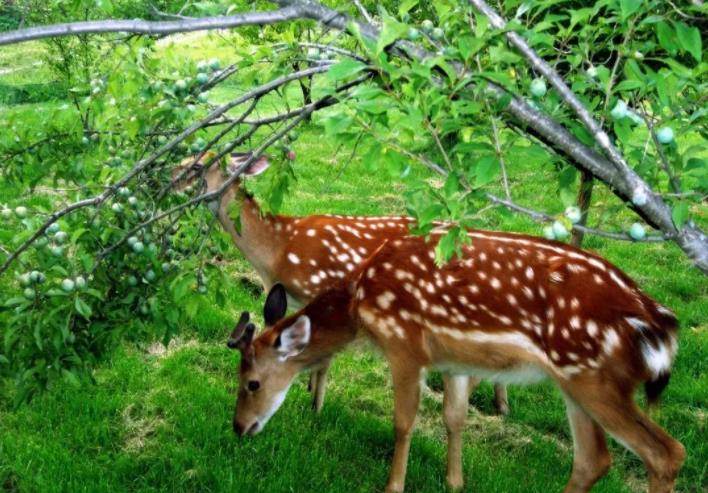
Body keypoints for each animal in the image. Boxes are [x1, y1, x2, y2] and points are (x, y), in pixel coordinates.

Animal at [175, 152, 512, 414]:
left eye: (197, 166)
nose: (171, 176)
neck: (278, 251)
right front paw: (308, 389)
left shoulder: (319, 285)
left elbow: (324, 358)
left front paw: (315, 406)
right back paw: (500, 405)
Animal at [230, 230, 684, 492]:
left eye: (251, 383)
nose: (239, 428)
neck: (361, 302)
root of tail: (658, 324)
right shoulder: (454, 360)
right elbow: (454, 417)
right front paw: (455, 483)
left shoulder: (404, 342)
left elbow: (404, 421)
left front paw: (393, 486)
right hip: (576, 382)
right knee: (594, 460)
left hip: (594, 377)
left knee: (666, 452)